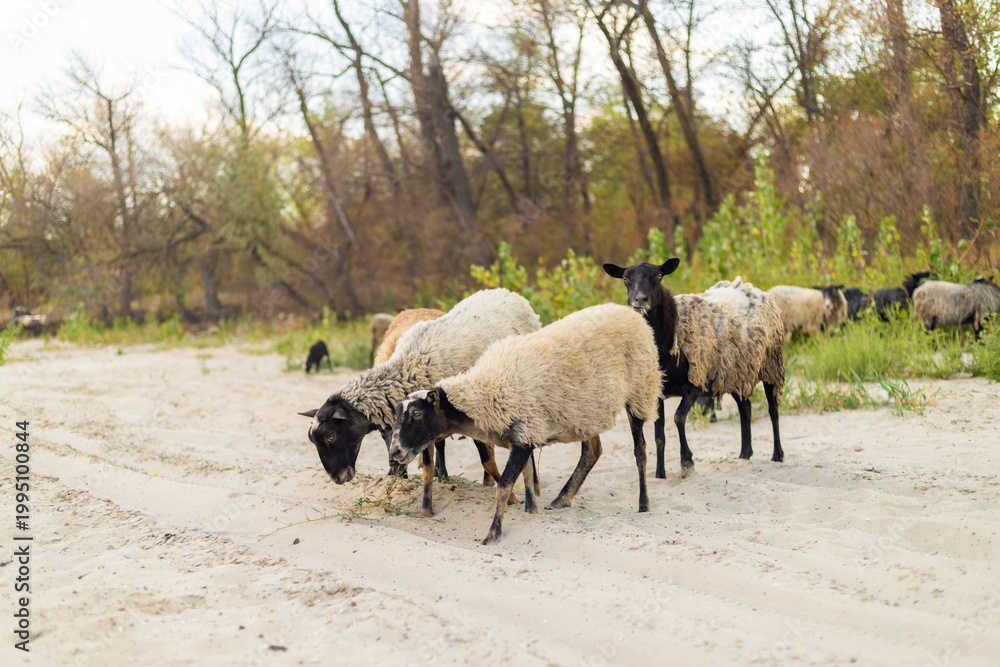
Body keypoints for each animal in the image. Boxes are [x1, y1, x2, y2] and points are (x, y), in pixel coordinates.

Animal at [298, 289, 550, 517]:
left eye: (331, 436)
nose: (337, 478)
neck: (412, 365)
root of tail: (508, 292)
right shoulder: (423, 428)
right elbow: (428, 468)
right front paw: (426, 509)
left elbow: (487, 461)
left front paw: (513, 498)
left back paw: (534, 487)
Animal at [388, 303, 661, 544]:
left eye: (417, 413)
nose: (395, 452)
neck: (486, 388)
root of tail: (630, 313)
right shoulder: (526, 433)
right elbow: (528, 475)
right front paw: (531, 511)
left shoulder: (524, 432)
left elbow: (504, 486)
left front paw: (493, 534)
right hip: (585, 411)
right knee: (593, 451)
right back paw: (562, 499)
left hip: (640, 390)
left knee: (640, 451)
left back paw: (643, 504)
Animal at [604, 261, 784, 478]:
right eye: (625, 278)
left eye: (658, 276)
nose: (640, 300)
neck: (672, 331)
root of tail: (751, 288)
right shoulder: (659, 393)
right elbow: (659, 436)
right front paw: (660, 474)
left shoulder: (695, 385)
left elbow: (679, 418)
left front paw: (687, 462)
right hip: (736, 371)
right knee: (745, 408)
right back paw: (744, 454)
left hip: (771, 366)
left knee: (773, 410)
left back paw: (777, 455)